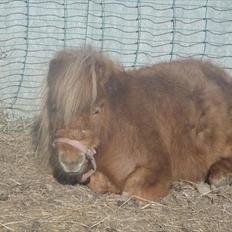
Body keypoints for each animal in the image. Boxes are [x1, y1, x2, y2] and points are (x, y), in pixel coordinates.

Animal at [36, 46, 232, 200]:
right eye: (54, 108)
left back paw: (220, 176)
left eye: (97, 110)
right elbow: (98, 181)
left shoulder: (157, 168)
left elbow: (132, 190)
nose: (70, 161)